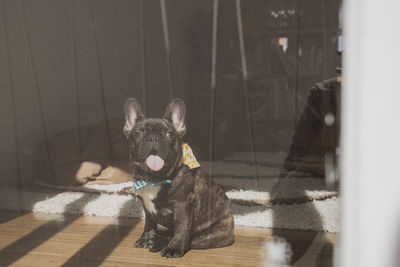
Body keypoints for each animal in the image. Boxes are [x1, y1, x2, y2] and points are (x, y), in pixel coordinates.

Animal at [124, 99, 234, 260]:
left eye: (169, 134)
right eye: (138, 133)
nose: (153, 138)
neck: (154, 178)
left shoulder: (183, 205)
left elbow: (181, 230)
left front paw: (173, 248)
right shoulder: (147, 207)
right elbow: (149, 223)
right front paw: (145, 238)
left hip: (211, 234)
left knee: (188, 238)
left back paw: (159, 243)